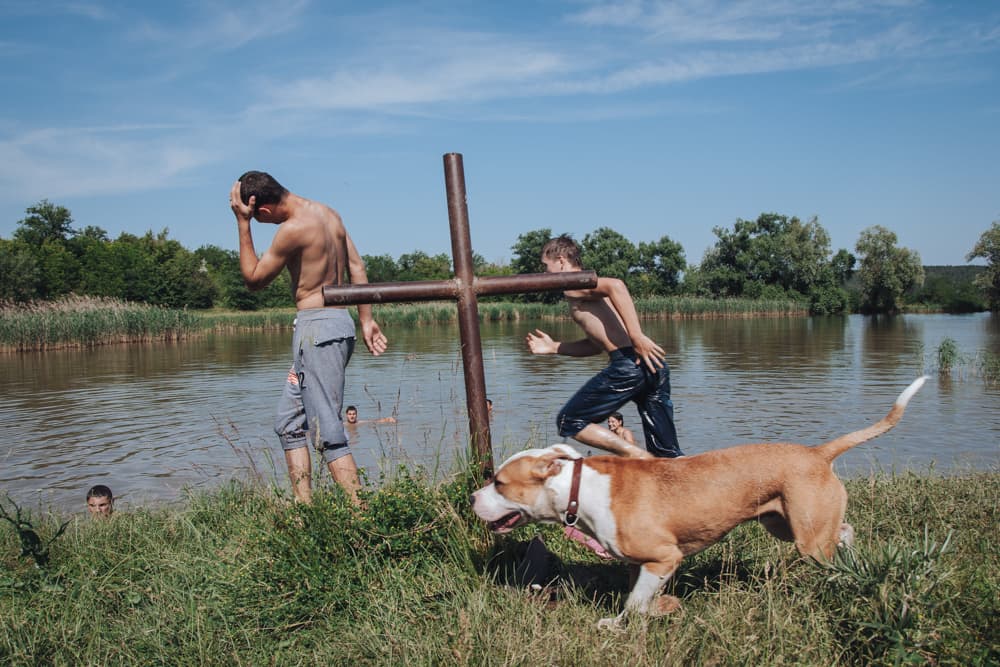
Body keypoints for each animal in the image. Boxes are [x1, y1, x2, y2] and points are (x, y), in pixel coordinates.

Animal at [471, 376, 928, 629]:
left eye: (499, 482)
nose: (473, 496)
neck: (577, 489)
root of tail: (819, 453)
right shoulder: (642, 563)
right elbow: (638, 598)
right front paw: (653, 611)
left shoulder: (663, 558)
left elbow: (635, 604)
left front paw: (627, 624)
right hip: (785, 522)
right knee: (844, 529)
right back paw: (852, 557)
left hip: (807, 538)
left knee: (830, 545)